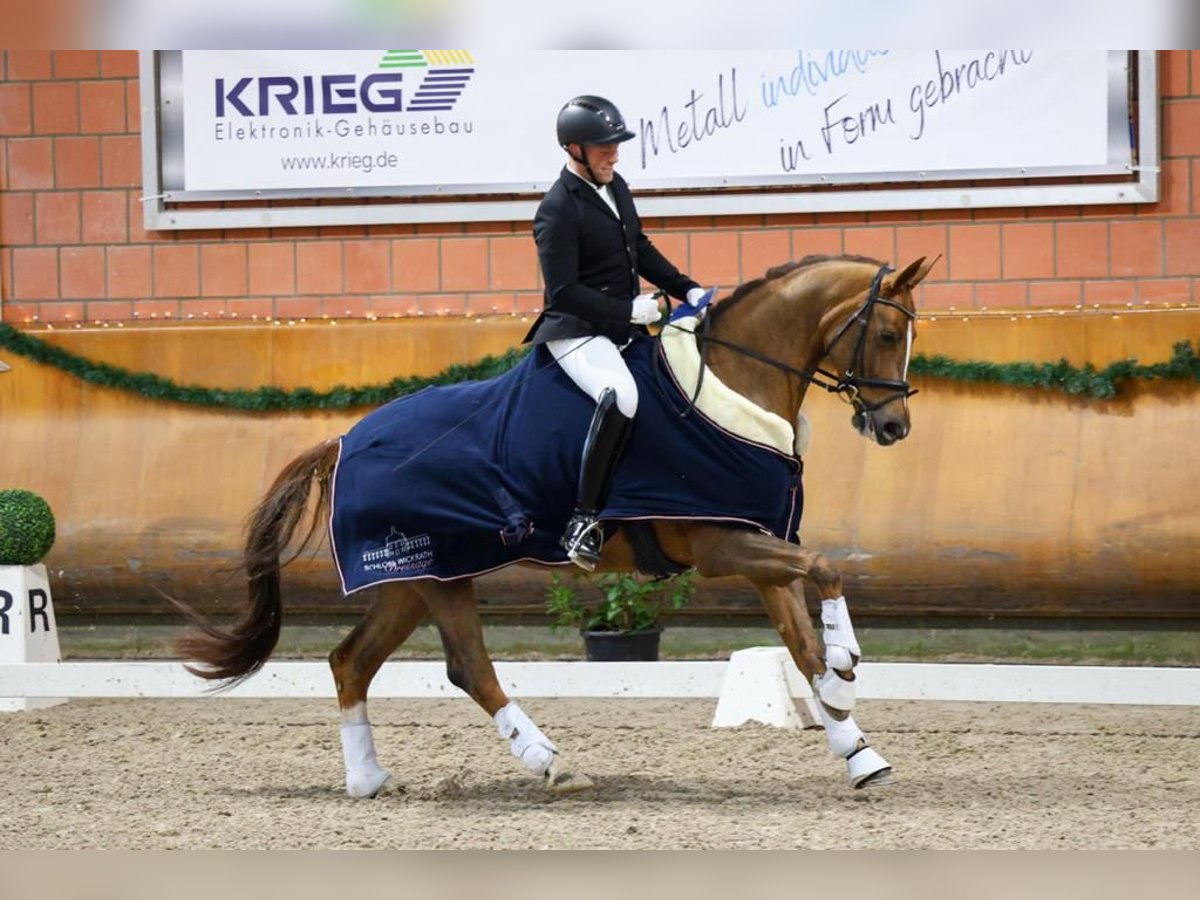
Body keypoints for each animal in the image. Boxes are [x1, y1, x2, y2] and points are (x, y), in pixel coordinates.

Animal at [174, 254, 936, 796]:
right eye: (887, 333)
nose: (895, 427)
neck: (730, 383)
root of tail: (344, 439)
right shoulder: (725, 545)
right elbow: (827, 572)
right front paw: (847, 665)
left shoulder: (758, 543)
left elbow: (801, 643)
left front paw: (856, 746)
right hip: (436, 572)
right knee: (468, 667)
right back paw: (549, 763)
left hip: (415, 577)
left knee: (351, 660)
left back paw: (368, 780)